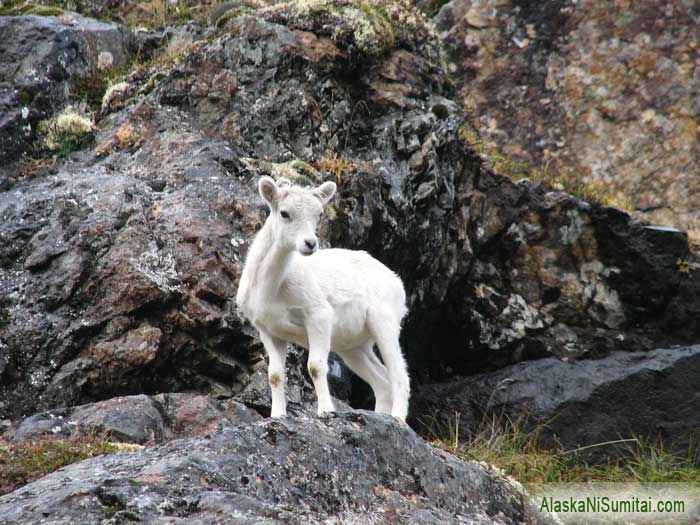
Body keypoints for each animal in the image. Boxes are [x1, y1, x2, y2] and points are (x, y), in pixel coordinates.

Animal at [235, 177, 410, 422]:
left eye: (318, 214)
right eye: (284, 213)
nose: (310, 243)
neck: (271, 288)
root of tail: (396, 281)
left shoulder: (318, 316)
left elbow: (316, 367)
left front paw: (326, 411)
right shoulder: (269, 332)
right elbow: (275, 375)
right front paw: (277, 416)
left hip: (384, 324)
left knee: (398, 375)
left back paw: (398, 419)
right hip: (354, 348)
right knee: (382, 381)